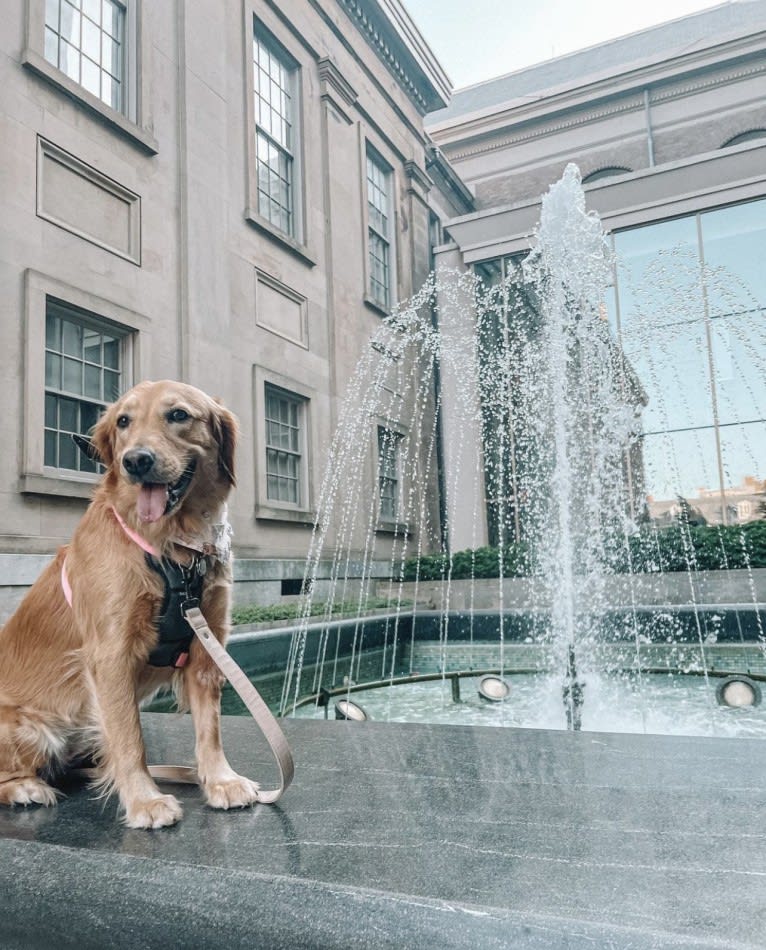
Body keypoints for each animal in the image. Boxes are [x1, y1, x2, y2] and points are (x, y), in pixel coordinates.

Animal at [0, 384, 260, 828]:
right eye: (123, 421)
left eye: (178, 415)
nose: (136, 461)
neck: (171, 547)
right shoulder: (111, 653)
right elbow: (128, 737)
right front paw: (144, 801)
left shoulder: (206, 646)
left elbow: (210, 728)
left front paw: (221, 781)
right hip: (30, 728)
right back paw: (25, 788)